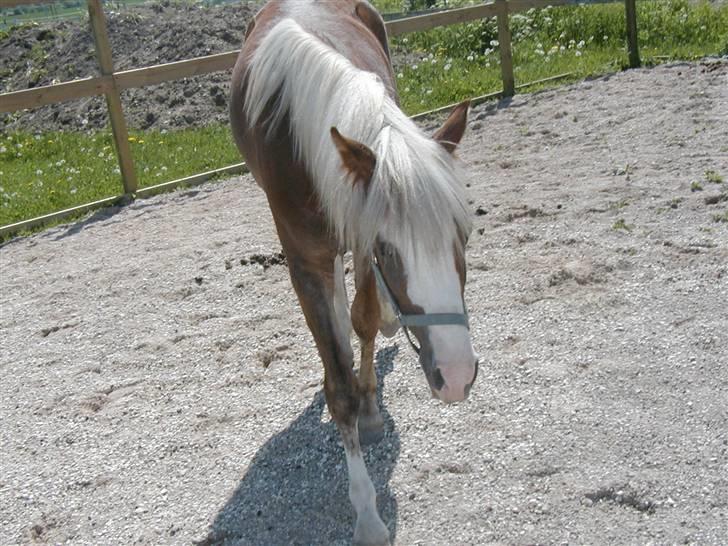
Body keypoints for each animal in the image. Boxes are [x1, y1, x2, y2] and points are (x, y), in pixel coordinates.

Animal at [230, 2, 478, 543]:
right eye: (389, 248)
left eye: (464, 234)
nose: (455, 377)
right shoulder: (309, 259)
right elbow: (338, 382)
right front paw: (366, 513)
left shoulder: (357, 232)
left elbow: (364, 321)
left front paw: (370, 411)